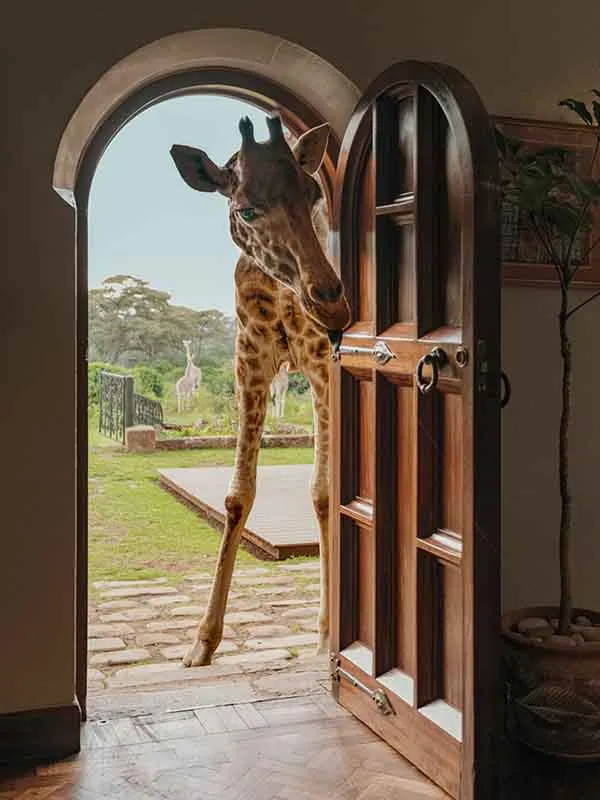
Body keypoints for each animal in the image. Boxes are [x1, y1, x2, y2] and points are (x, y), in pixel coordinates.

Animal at [170, 114, 350, 667]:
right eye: (246, 209)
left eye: (313, 194)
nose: (332, 304)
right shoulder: (249, 361)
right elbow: (236, 496)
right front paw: (202, 643)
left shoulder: (320, 364)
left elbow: (324, 492)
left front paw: (325, 633)